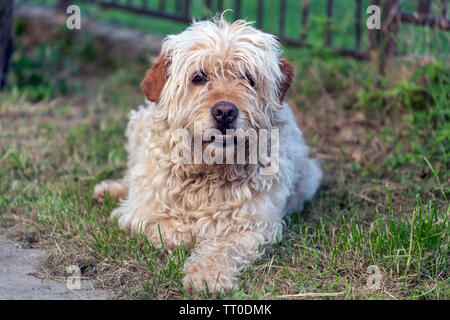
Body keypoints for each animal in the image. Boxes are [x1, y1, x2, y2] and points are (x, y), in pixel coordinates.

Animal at [93, 16, 322, 292]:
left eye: (248, 77)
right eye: (199, 77)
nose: (225, 112)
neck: (209, 172)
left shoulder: (255, 226)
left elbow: (222, 247)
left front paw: (207, 276)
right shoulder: (142, 213)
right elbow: (175, 232)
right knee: (130, 176)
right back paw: (110, 190)